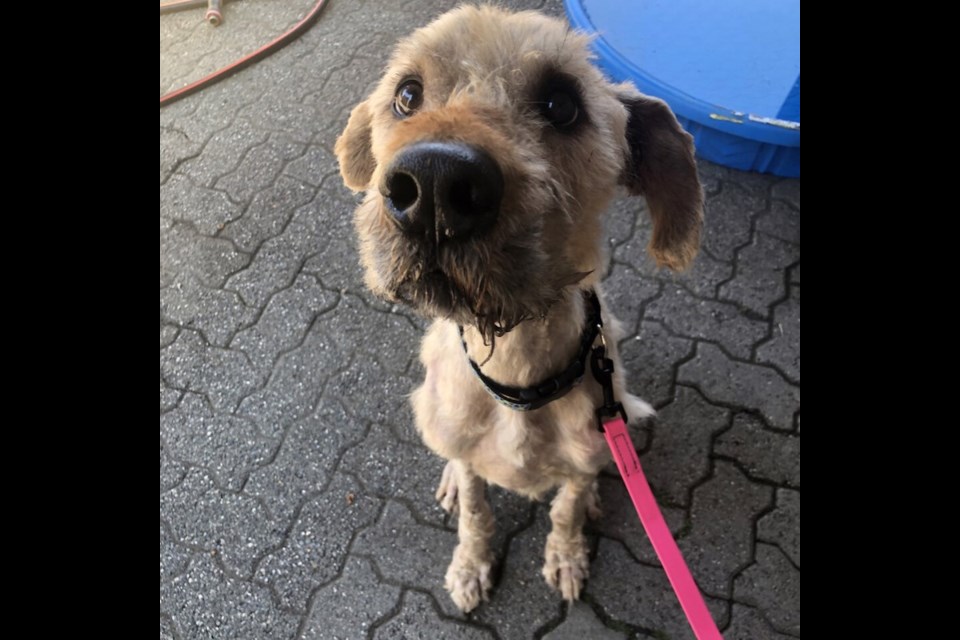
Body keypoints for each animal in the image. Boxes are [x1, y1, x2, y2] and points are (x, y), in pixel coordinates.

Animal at [334, 6, 700, 616]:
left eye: (562, 104)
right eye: (408, 94)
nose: (434, 184)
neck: (515, 366)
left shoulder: (590, 446)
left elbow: (567, 507)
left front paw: (567, 555)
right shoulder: (465, 445)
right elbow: (476, 511)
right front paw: (471, 565)